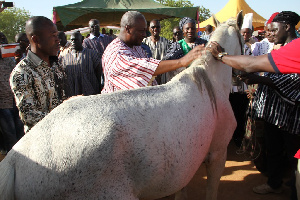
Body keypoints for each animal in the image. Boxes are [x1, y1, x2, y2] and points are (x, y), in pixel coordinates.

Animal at [0, 13, 243, 199]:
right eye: (243, 40)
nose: (241, 78)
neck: (209, 81)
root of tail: (14, 159)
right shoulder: (217, 154)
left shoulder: (186, 165)